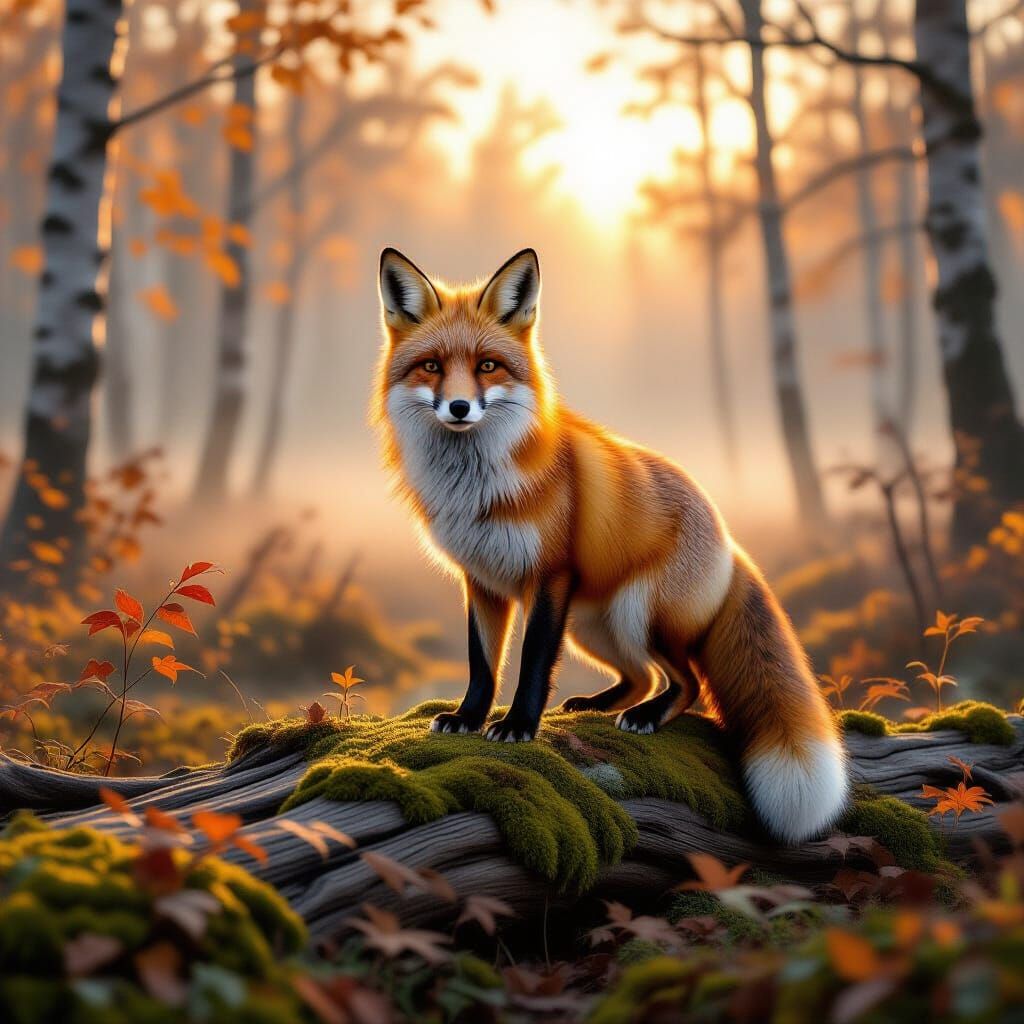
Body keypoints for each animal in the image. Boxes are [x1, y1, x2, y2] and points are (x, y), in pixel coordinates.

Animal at [372, 246, 849, 844]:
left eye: (487, 366)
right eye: (432, 366)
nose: (459, 407)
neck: (478, 488)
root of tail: (730, 540)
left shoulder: (550, 576)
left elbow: (532, 661)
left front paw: (518, 726)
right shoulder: (481, 581)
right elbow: (482, 664)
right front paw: (468, 718)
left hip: (638, 614)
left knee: (687, 682)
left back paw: (645, 717)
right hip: (591, 627)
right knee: (641, 675)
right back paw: (594, 705)